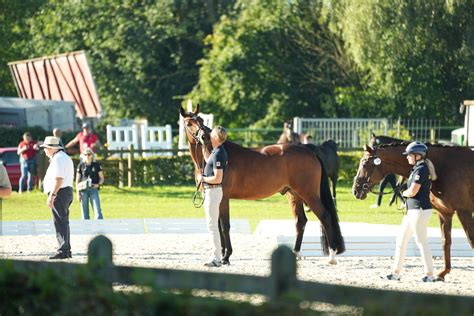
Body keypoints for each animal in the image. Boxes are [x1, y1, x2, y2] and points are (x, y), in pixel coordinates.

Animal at [181, 106, 344, 264]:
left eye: (201, 120)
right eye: (189, 123)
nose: (204, 137)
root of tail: (310, 152)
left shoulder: (223, 198)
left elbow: (224, 226)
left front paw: (226, 257)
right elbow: (219, 225)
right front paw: (221, 256)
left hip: (309, 195)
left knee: (325, 216)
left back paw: (332, 256)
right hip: (294, 195)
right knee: (301, 221)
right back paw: (296, 253)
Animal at [350, 142, 474, 280]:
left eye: (364, 164)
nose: (355, 190)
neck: (443, 167)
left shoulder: (464, 211)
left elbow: (471, 240)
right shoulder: (445, 213)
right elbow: (445, 242)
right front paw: (442, 274)